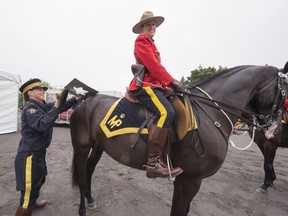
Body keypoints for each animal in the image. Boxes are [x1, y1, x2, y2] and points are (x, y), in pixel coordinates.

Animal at [70, 64, 288, 216]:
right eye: (285, 88)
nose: (274, 127)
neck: (211, 113)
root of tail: (86, 99)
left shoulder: (190, 182)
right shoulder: (188, 180)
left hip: (99, 146)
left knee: (89, 170)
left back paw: (90, 199)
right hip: (81, 147)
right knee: (81, 175)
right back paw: (82, 208)